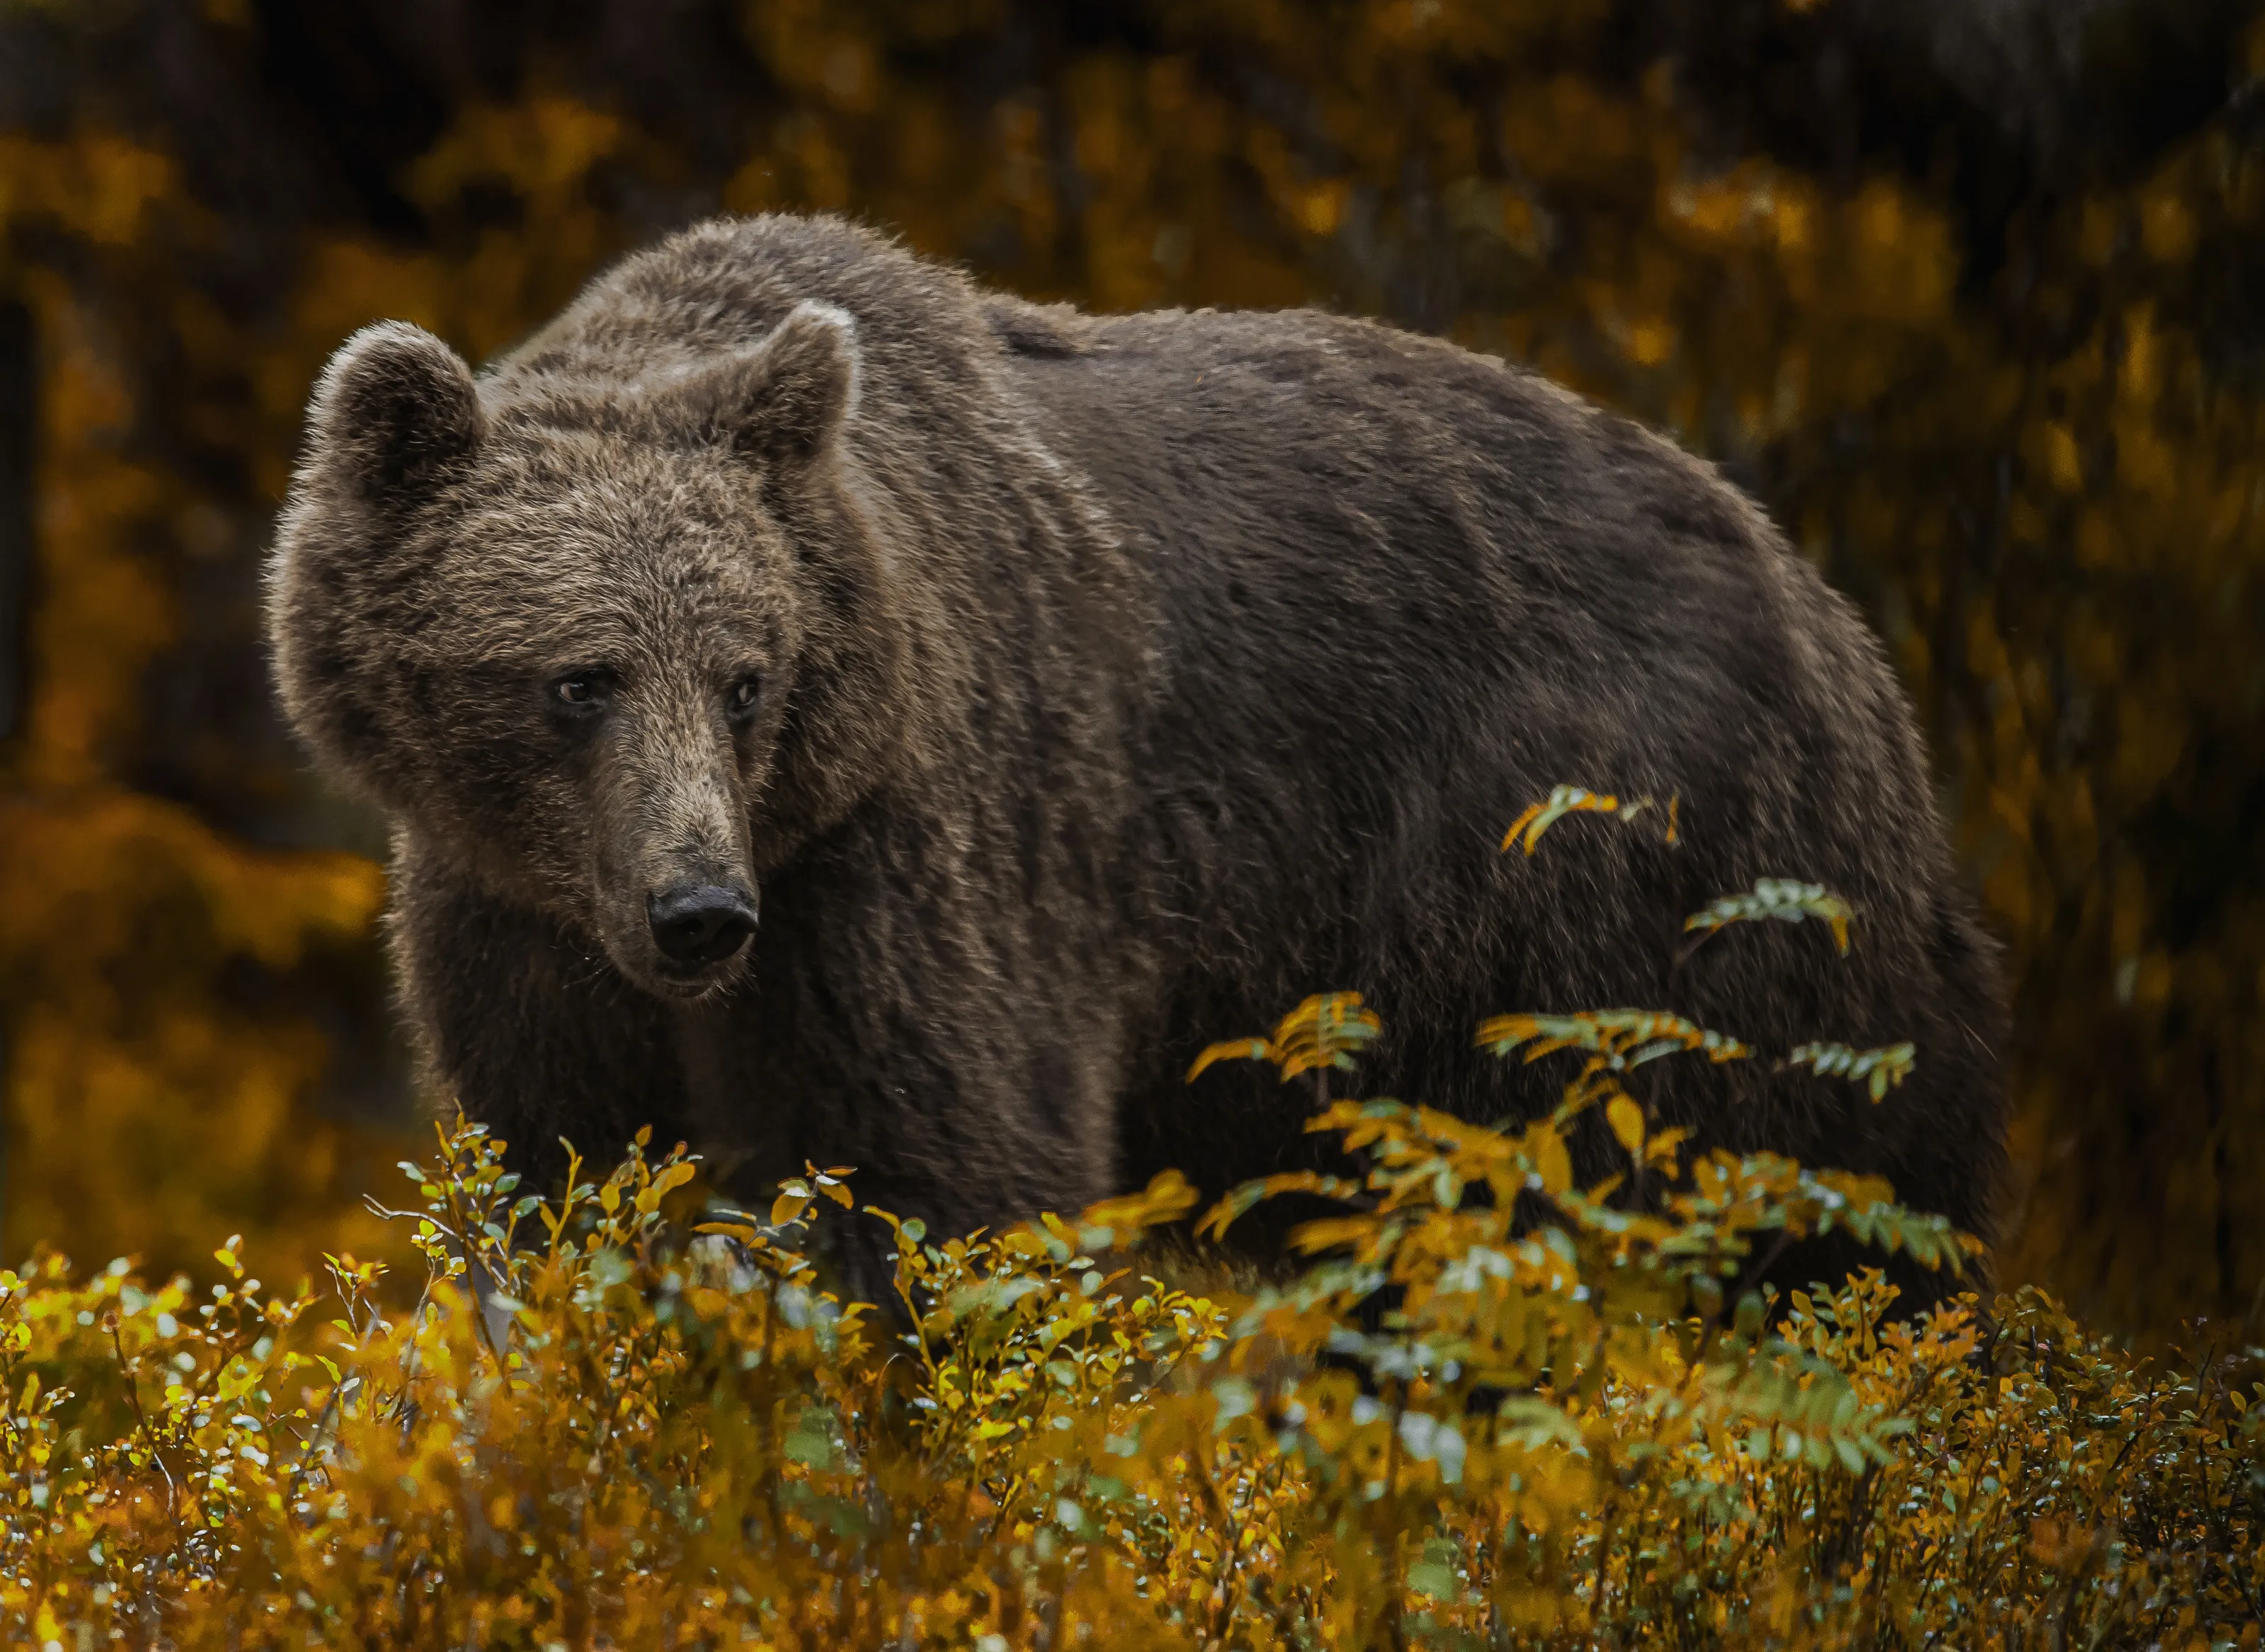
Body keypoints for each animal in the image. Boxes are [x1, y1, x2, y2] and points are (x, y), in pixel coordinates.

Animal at [267, 213, 2005, 1311]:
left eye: (748, 678)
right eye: (579, 679)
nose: (700, 911)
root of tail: (1836, 617)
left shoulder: (918, 858)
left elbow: (948, 1176)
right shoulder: (521, 927)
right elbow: (566, 1180)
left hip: (1637, 905)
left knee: (1790, 1223)